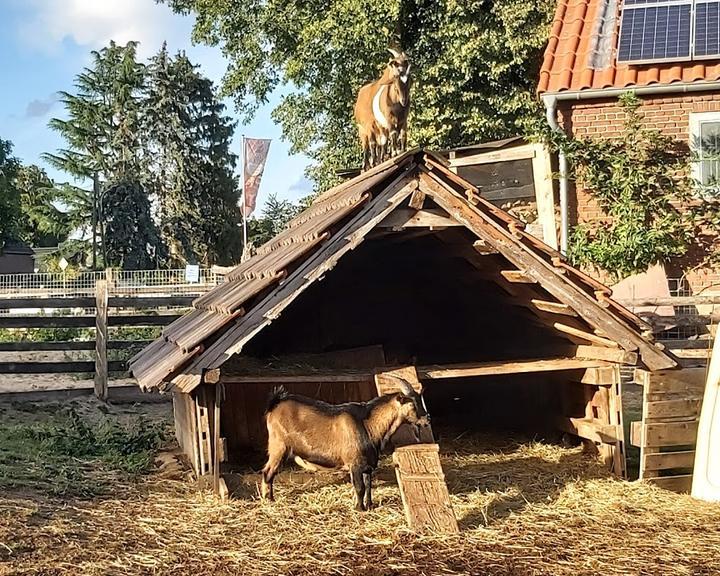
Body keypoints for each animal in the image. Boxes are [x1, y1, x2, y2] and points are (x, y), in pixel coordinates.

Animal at [260, 380, 428, 510]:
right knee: (268, 472)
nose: (427, 420)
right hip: (279, 446)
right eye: (413, 405)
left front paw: (369, 506)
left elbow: (368, 486)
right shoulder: (355, 465)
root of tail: (275, 404)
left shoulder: (367, 466)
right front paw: (359, 509)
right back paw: (269, 500)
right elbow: (360, 488)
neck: (368, 424)